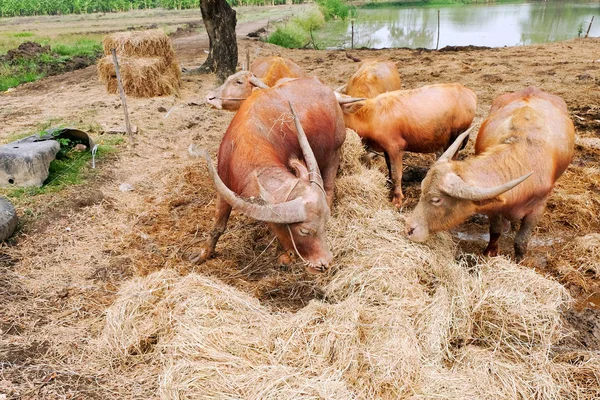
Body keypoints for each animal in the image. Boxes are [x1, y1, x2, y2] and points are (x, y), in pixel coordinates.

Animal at [190, 76, 344, 272]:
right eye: (304, 231)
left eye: (325, 223)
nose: (324, 264)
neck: (248, 145)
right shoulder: (223, 184)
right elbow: (218, 225)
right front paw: (203, 254)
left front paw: (284, 256)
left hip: (334, 154)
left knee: (330, 189)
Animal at [340, 83, 476, 208]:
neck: (370, 116)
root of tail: (468, 92)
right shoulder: (386, 150)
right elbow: (390, 169)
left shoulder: (395, 148)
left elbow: (396, 174)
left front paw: (397, 199)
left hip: (457, 136)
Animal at [406, 87, 576, 260]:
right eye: (422, 191)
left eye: (436, 200)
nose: (409, 229)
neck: (522, 151)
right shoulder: (494, 207)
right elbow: (495, 230)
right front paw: (490, 252)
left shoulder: (538, 208)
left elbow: (521, 241)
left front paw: (519, 260)